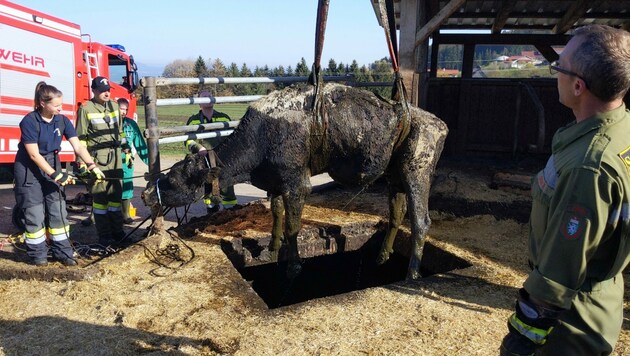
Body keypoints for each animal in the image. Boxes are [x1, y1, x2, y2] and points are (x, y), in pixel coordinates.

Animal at [143, 82, 450, 280]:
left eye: (173, 179)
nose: (146, 193)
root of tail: (438, 122)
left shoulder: (296, 182)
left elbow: (293, 226)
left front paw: (293, 267)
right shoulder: (277, 182)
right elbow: (277, 213)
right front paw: (271, 249)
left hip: (416, 170)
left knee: (421, 220)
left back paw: (412, 274)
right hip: (394, 176)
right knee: (396, 214)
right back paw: (383, 257)